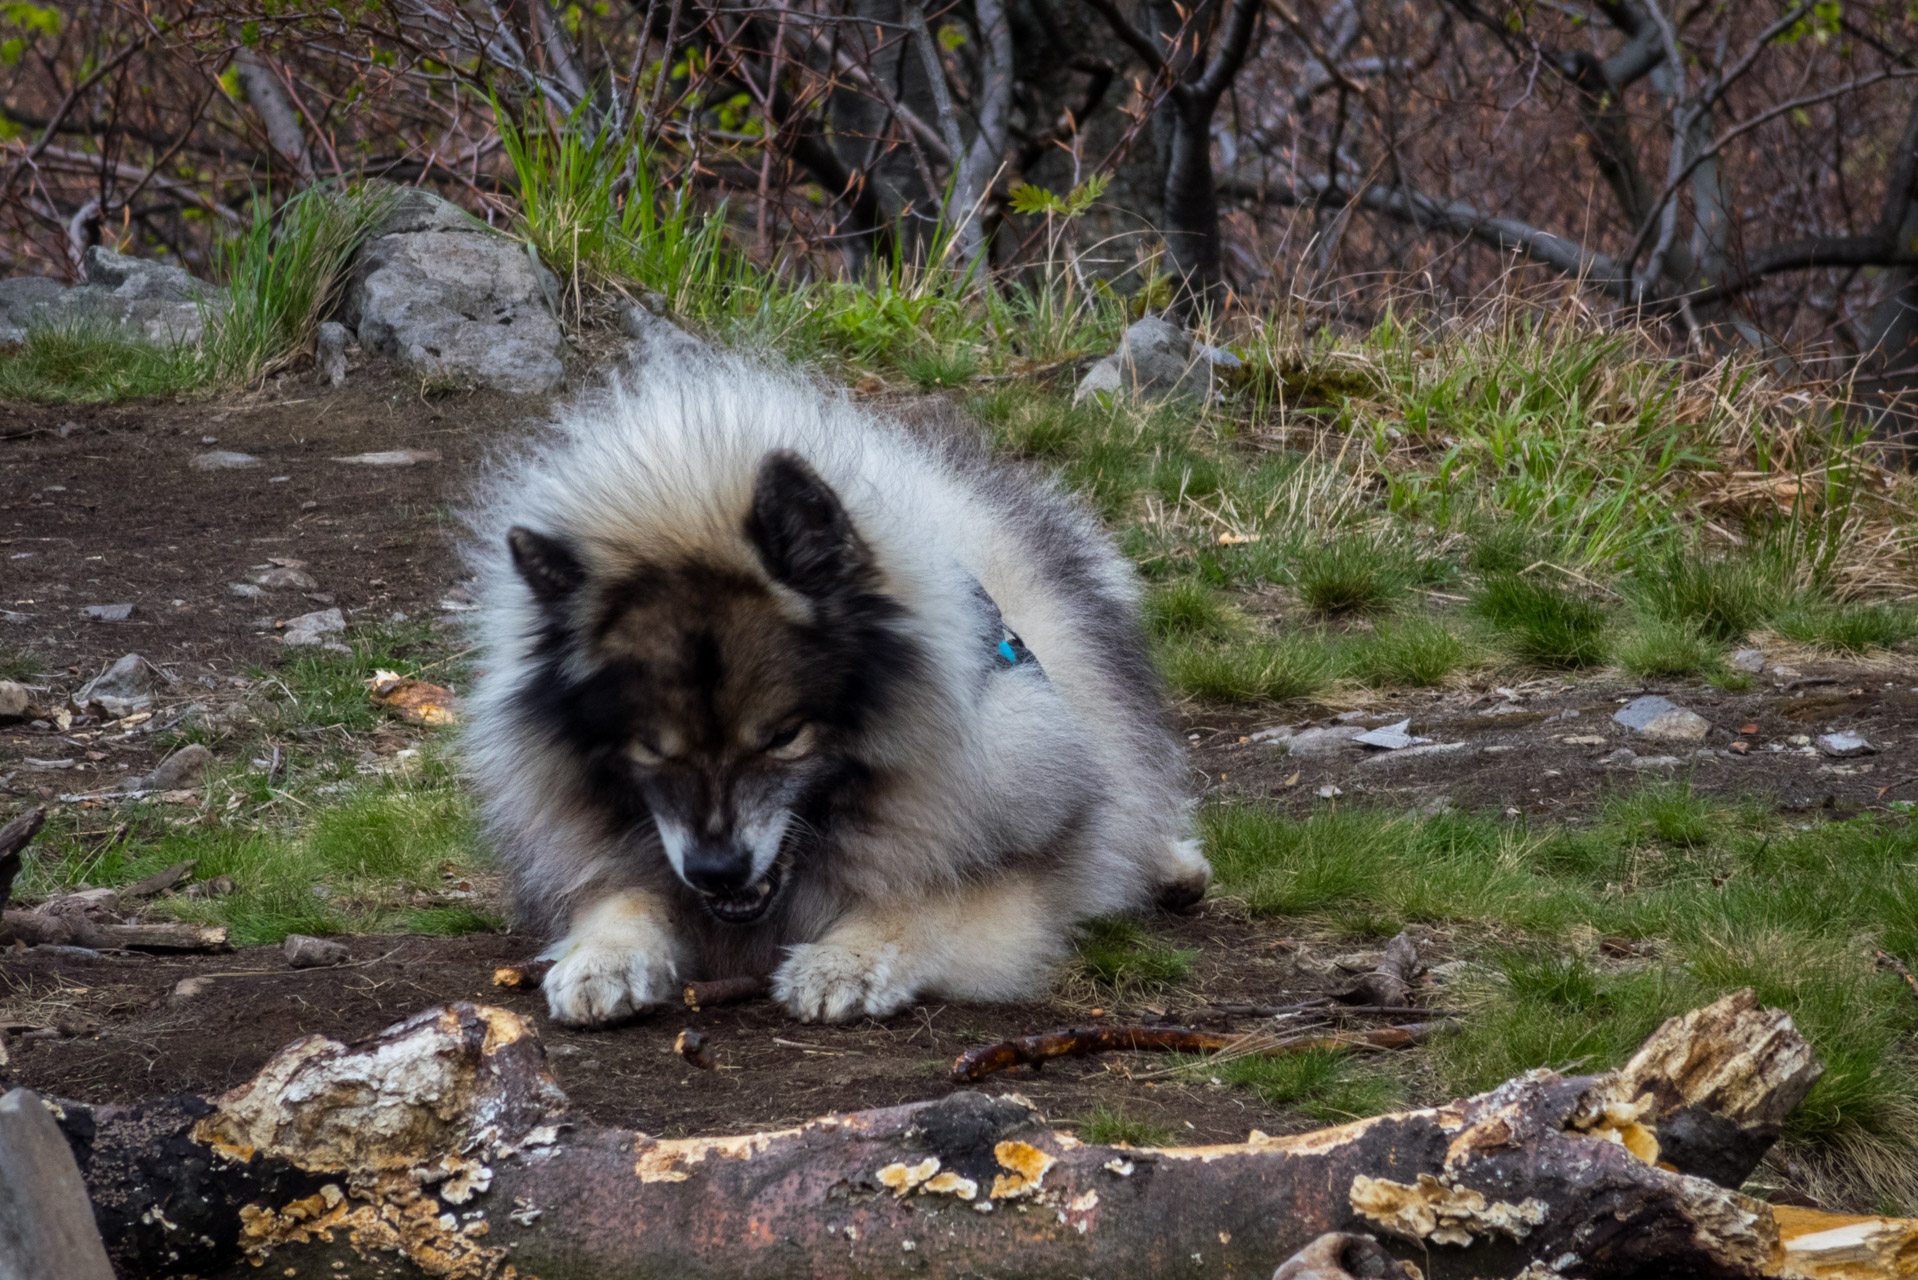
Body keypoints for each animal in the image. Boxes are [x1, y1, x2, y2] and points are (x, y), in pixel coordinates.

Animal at [466, 355, 1204, 1028]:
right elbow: (620, 895)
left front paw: (844, 959)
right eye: (649, 748)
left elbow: (925, 903)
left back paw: (1172, 868)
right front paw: (602, 956)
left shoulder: (1012, 859)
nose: (716, 870)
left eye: (785, 737)